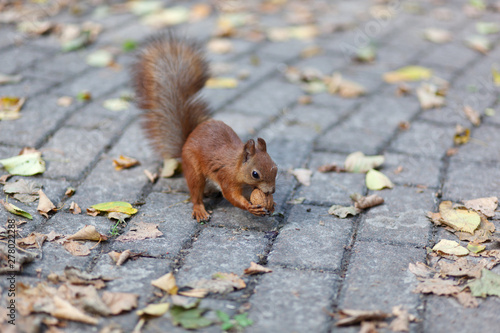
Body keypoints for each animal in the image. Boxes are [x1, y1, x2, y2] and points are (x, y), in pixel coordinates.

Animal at [132, 33, 278, 222]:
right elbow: (231, 196)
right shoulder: (226, 177)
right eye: (255, 174)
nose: (272, 190)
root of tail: (187, 141)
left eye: (275, 167)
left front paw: (272, 203)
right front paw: (250, 207)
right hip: (194, 170)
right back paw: (200, 209)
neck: (237, 166)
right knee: (195, 193)